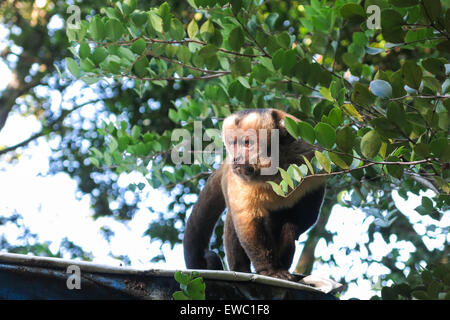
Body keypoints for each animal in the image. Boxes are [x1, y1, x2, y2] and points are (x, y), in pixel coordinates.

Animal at [184, 108, 326, 280]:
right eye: (233, 144)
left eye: (247, 143)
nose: (235, 158)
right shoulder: (237, 179)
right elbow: (247, 222)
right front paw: (270, 270)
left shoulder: (309, 155)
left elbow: (310, 210)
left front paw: (292, 230)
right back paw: (241, 269)